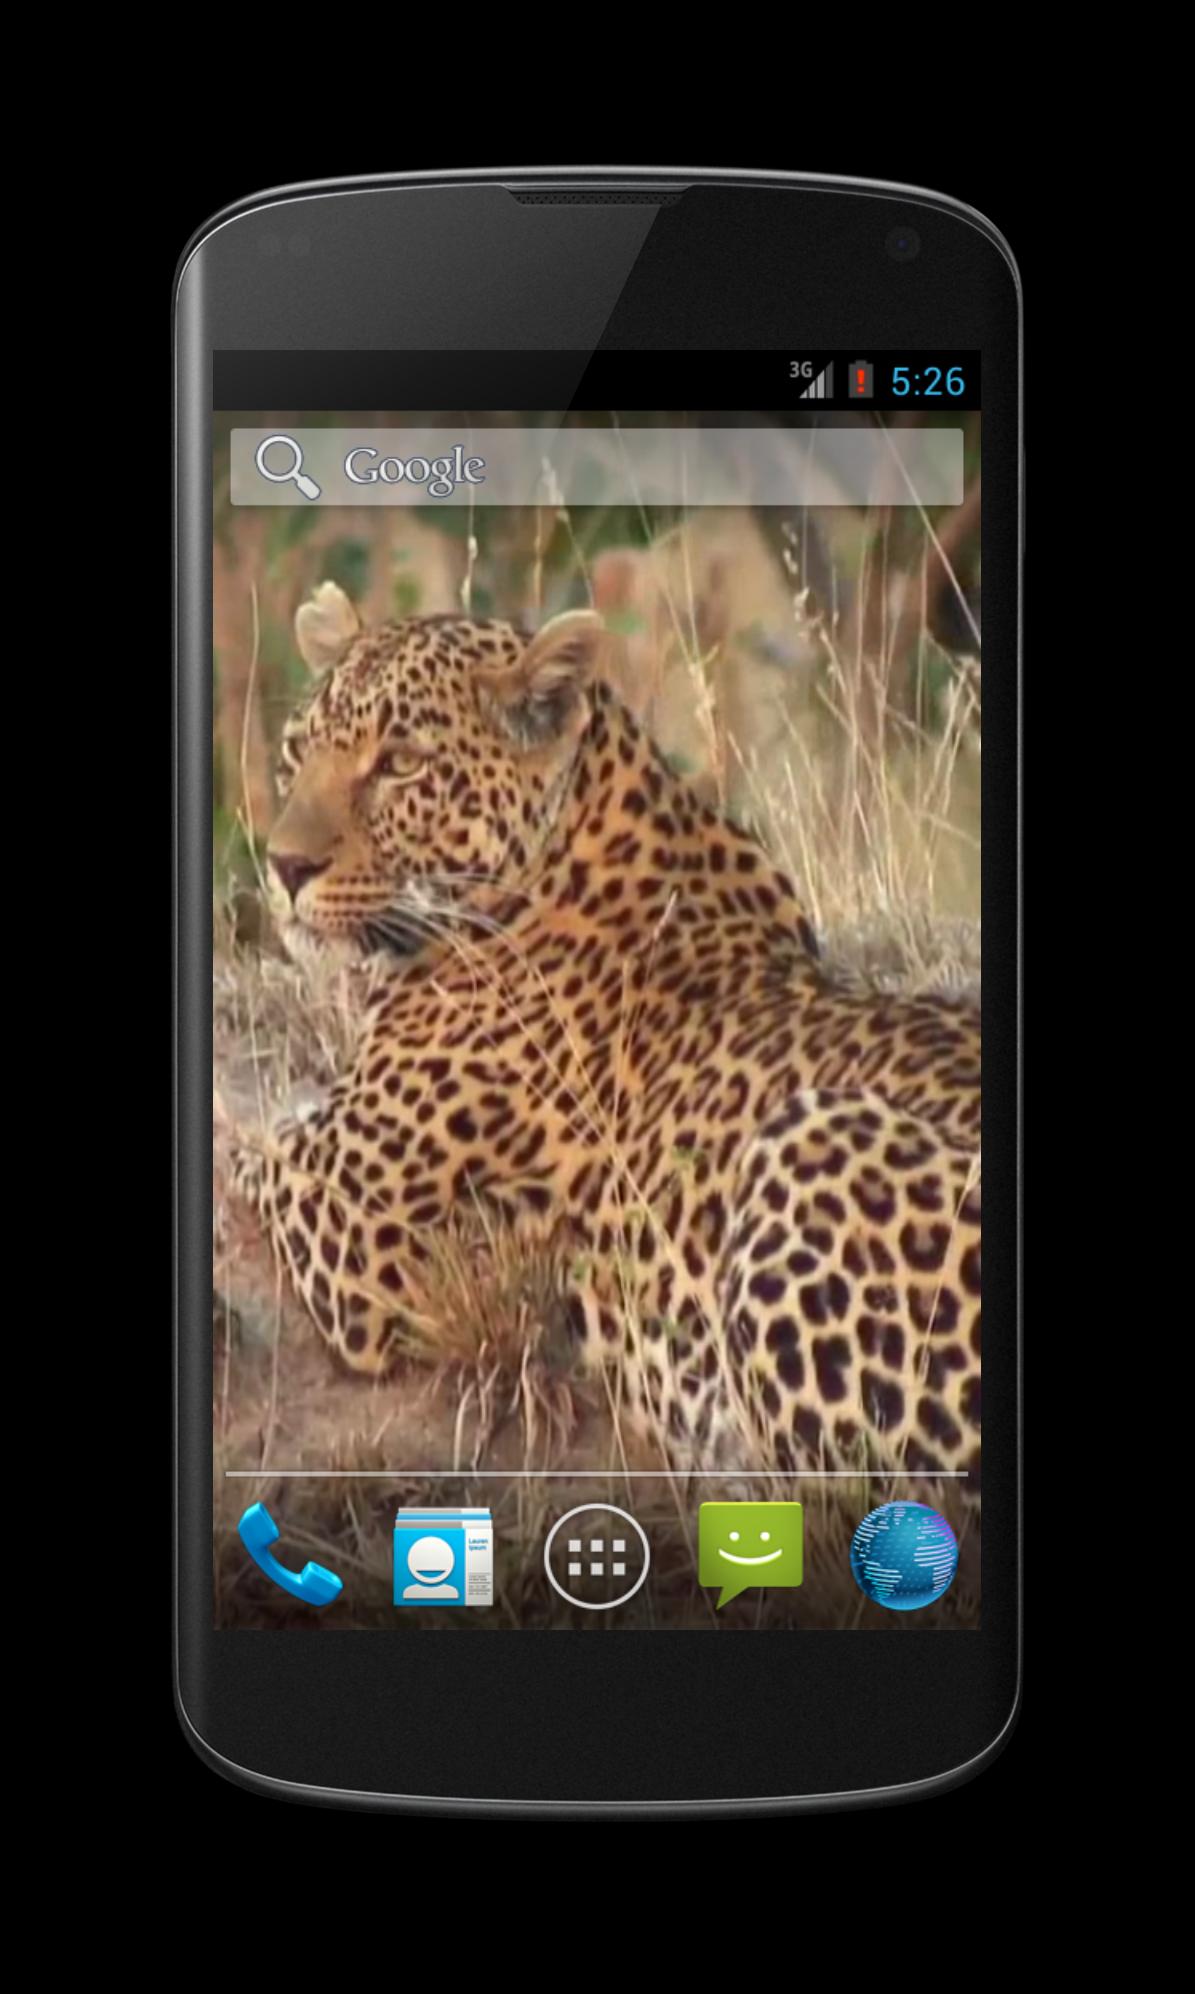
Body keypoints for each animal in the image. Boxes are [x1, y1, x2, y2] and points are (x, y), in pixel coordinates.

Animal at [229, 582, 981, 1495]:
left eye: (400, 763)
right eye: (297, 751)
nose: (284, 867)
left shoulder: (350, 1213)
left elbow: (248, 1139)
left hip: (810, 1141)